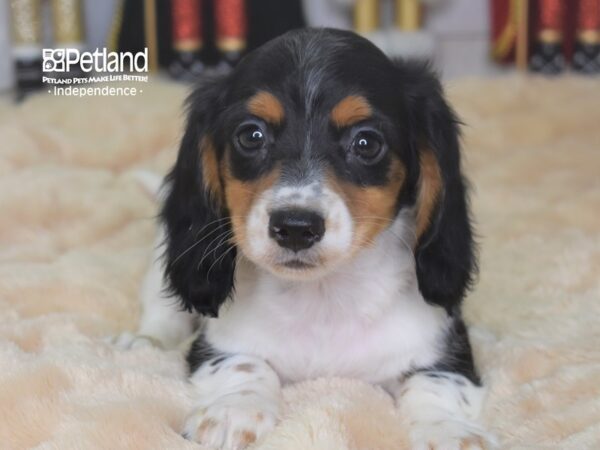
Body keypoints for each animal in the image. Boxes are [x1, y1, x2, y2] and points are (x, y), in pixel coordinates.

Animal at [125, 29, 492, 450]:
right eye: (251, 135)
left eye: (367, 143)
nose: (296, 226)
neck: (323, 297)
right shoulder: (218, 343)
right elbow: (244, 362)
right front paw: (234, 409)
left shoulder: (443, 345)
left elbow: (436, 383)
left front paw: (449, 430)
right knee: (164, 312)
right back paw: (145, 342)